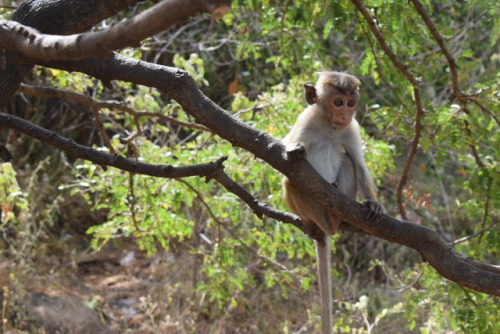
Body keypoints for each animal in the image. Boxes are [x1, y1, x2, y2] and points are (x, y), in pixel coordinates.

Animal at [282, 70, 382, 334]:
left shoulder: (351, 130)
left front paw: (374, 203)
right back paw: (321, 224)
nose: (345, 114)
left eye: (351, 103)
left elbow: (359, 164)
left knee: (347, 161)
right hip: (310, 211)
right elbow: (286, 147)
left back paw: (338, 216)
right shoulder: (305, 119)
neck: (329, 127)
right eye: (338, 102)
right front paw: (295, 147)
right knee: (290, 182)